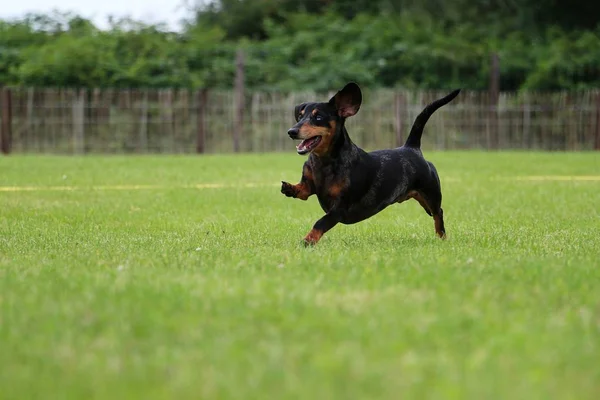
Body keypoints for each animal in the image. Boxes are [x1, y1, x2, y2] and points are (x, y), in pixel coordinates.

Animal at [280, 83, 460, 245]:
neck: (324, 162)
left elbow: (320, 222)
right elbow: (302, 190)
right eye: (300, 116)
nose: (291, 132)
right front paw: (290, 188)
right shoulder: (309, 186)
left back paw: (441, 236)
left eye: (318, 117)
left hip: (431, 195)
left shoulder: (339, 208)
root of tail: (411, 147)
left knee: (438, 213)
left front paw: (307, 240)